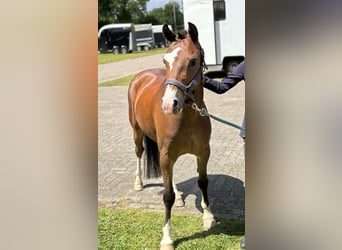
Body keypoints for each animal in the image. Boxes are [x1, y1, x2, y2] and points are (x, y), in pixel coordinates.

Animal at [128, 22, 216, 249]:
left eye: (193, 61)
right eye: (165, 60)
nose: (169, 104)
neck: (188, 117)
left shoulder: (203, 153)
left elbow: (203, 183)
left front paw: (208, 217)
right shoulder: (166, 154)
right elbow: (166, 196)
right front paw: (167, 238)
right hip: (137, 132)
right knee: (139, 153)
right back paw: (138, 183)